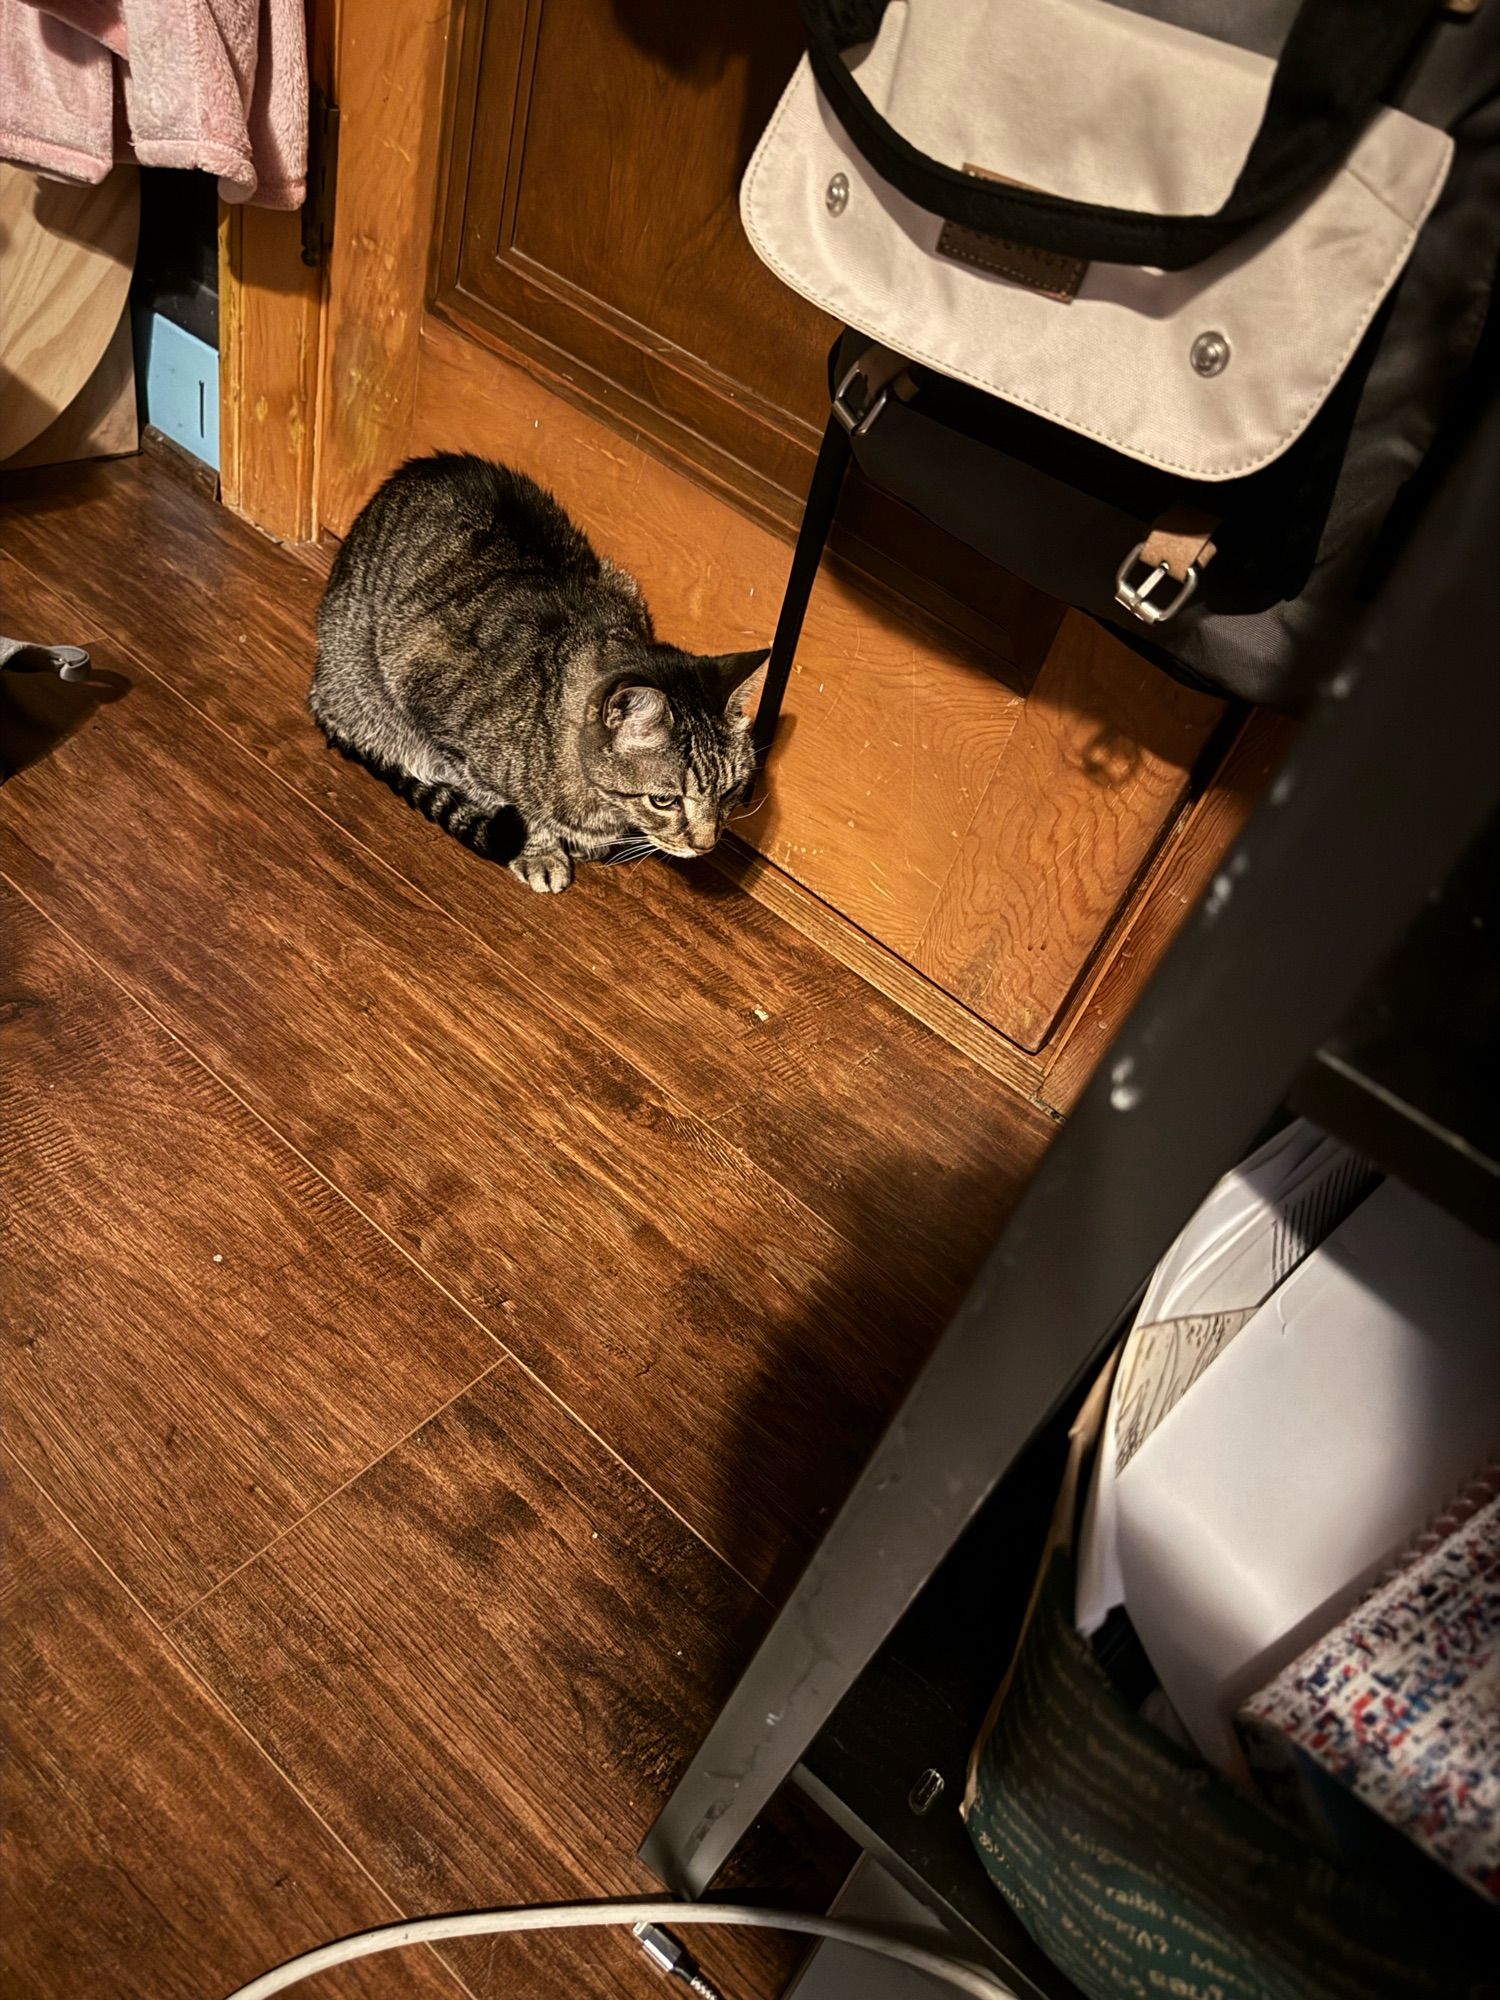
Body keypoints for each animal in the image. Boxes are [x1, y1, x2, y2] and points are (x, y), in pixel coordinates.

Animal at [312, 458, 768, 896]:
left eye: (729, 792)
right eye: (664, 800)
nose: (706, 845)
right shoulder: (430, 696)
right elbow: (510, 803)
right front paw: (542, 850)